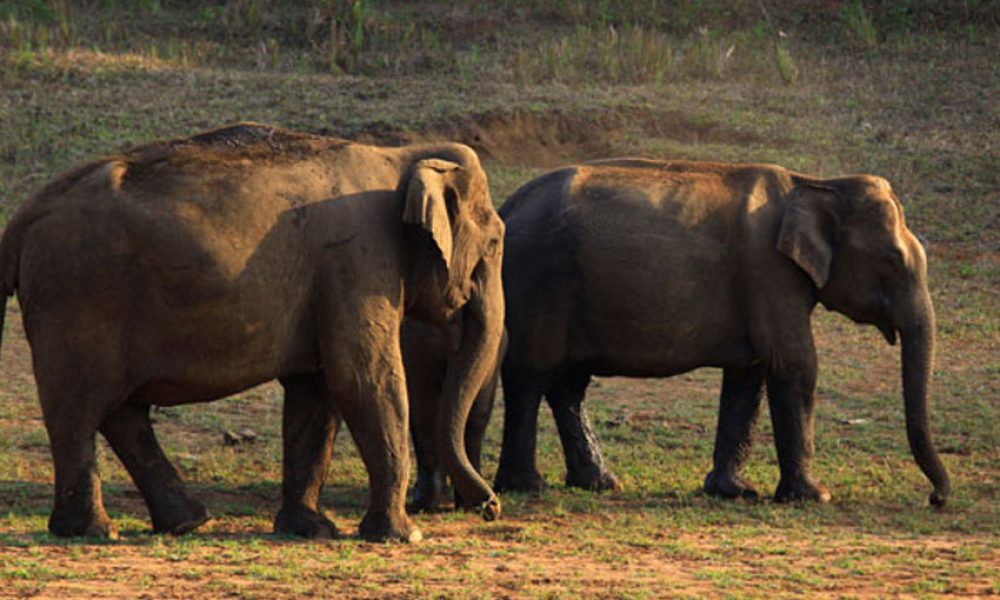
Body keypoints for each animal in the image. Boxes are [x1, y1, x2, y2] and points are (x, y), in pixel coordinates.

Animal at [0, 123, 504, 544]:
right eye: (496, 240)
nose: (490, 506)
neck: (401, 158)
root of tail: (22, 218)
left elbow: (315, 392)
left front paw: (311, 530)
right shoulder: (359, 262)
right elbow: (363, 381)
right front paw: (403, 536)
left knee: (119, 411)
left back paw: (186, 522)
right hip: (76, 297)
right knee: (79, 410)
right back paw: (95, 531)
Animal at [496, 158, 948, 506]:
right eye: (892, 261)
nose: (936, 498)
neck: (813, 183)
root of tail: (506, 206)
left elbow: (748, 376)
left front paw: (736, 491)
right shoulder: (769, 273)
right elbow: (796, 365)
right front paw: (814, 496)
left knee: (568, 385)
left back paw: (599, 484)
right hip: (538, 283)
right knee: (529, 376)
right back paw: (528, 487)